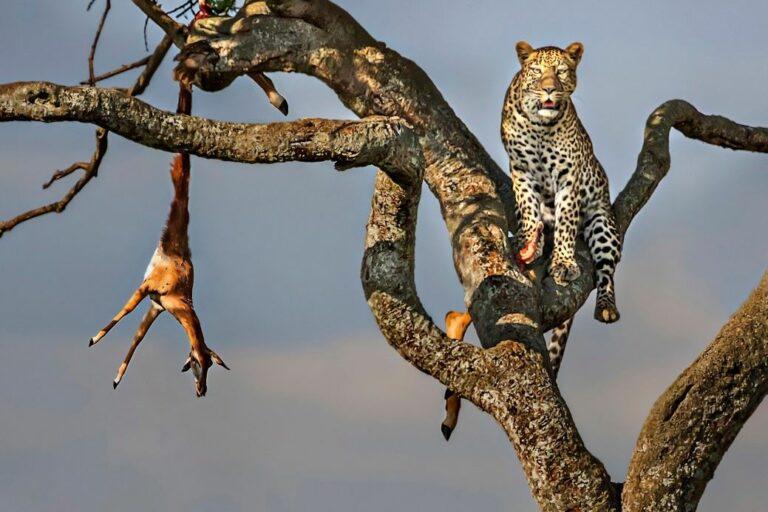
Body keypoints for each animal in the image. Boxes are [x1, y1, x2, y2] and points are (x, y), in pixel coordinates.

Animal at [501, 41, 622, 373]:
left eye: (561, 71)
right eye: (537, 70)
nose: (549, 89)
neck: (541, 126)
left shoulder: (570, 178)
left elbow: (567, 220)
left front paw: (564, 263)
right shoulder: (520, 170)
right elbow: (527, 208)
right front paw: (527, 241)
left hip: (603, 226)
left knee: (606, 271)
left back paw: (607, 307)